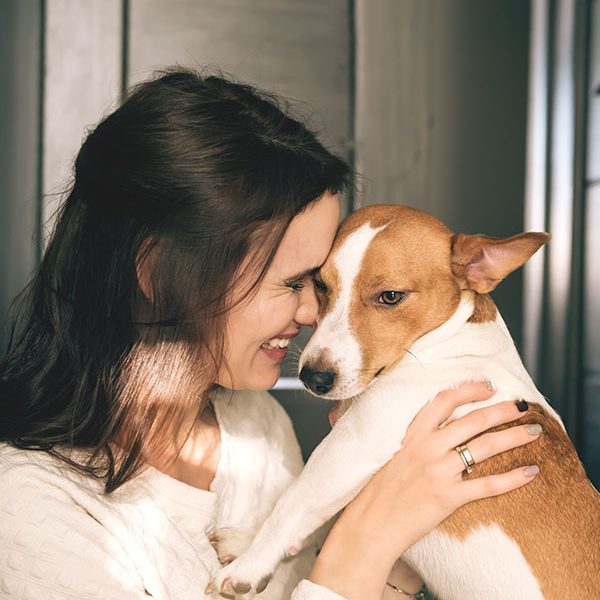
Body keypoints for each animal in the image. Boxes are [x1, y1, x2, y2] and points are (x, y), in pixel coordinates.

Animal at [211, 204, 600, 596]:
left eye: (391, 297)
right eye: (320, 284)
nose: (312, 378)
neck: (445, 346)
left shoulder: (351, 446)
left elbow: (292, 503)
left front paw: (249, 564)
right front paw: (245, 542)